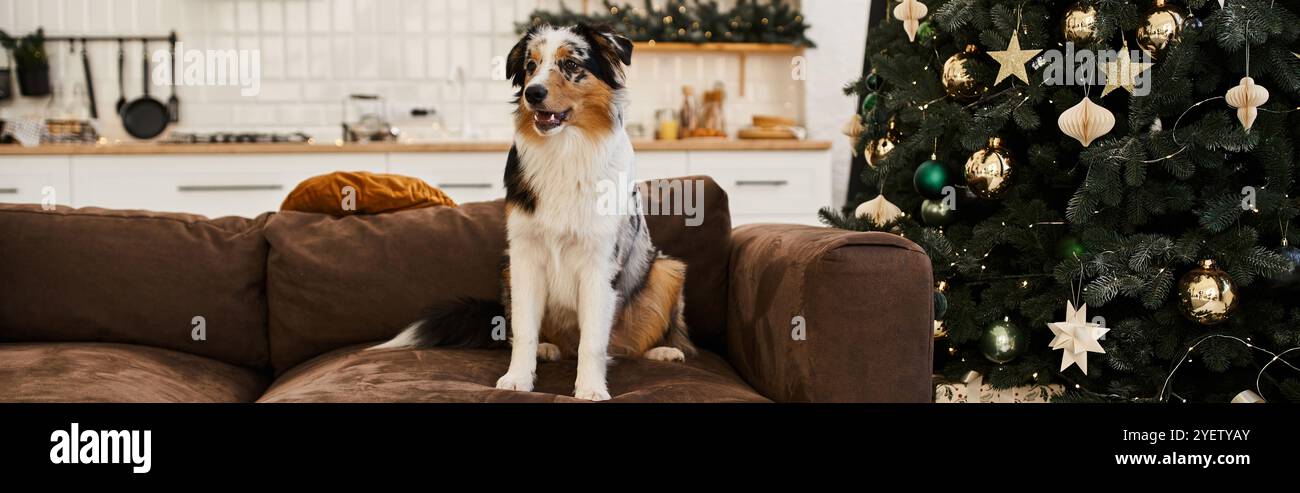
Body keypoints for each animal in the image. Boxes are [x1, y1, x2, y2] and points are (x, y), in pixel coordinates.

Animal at [374, 24, 696, 400]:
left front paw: (590, 388)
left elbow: (592, 342)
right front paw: (517, 379)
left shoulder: (599, 262)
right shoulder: (524, 256)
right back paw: (548, 347)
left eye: (571, 64)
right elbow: (524, 331)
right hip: (506, 268)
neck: (565, 151)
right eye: (530, 66)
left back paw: (664, 350)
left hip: (667, 269)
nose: (533, 93)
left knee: (625, 343)